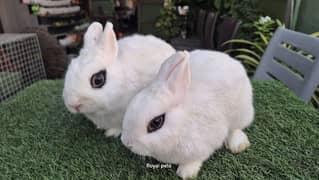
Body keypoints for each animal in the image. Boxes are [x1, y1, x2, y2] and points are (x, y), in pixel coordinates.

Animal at [121, 50, 254, 179]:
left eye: (156, 122)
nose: (127, 143)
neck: (181, 124)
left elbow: (196, 159)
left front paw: (186, 173)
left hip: (241, 113)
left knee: (235, 129)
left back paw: (238, 145)